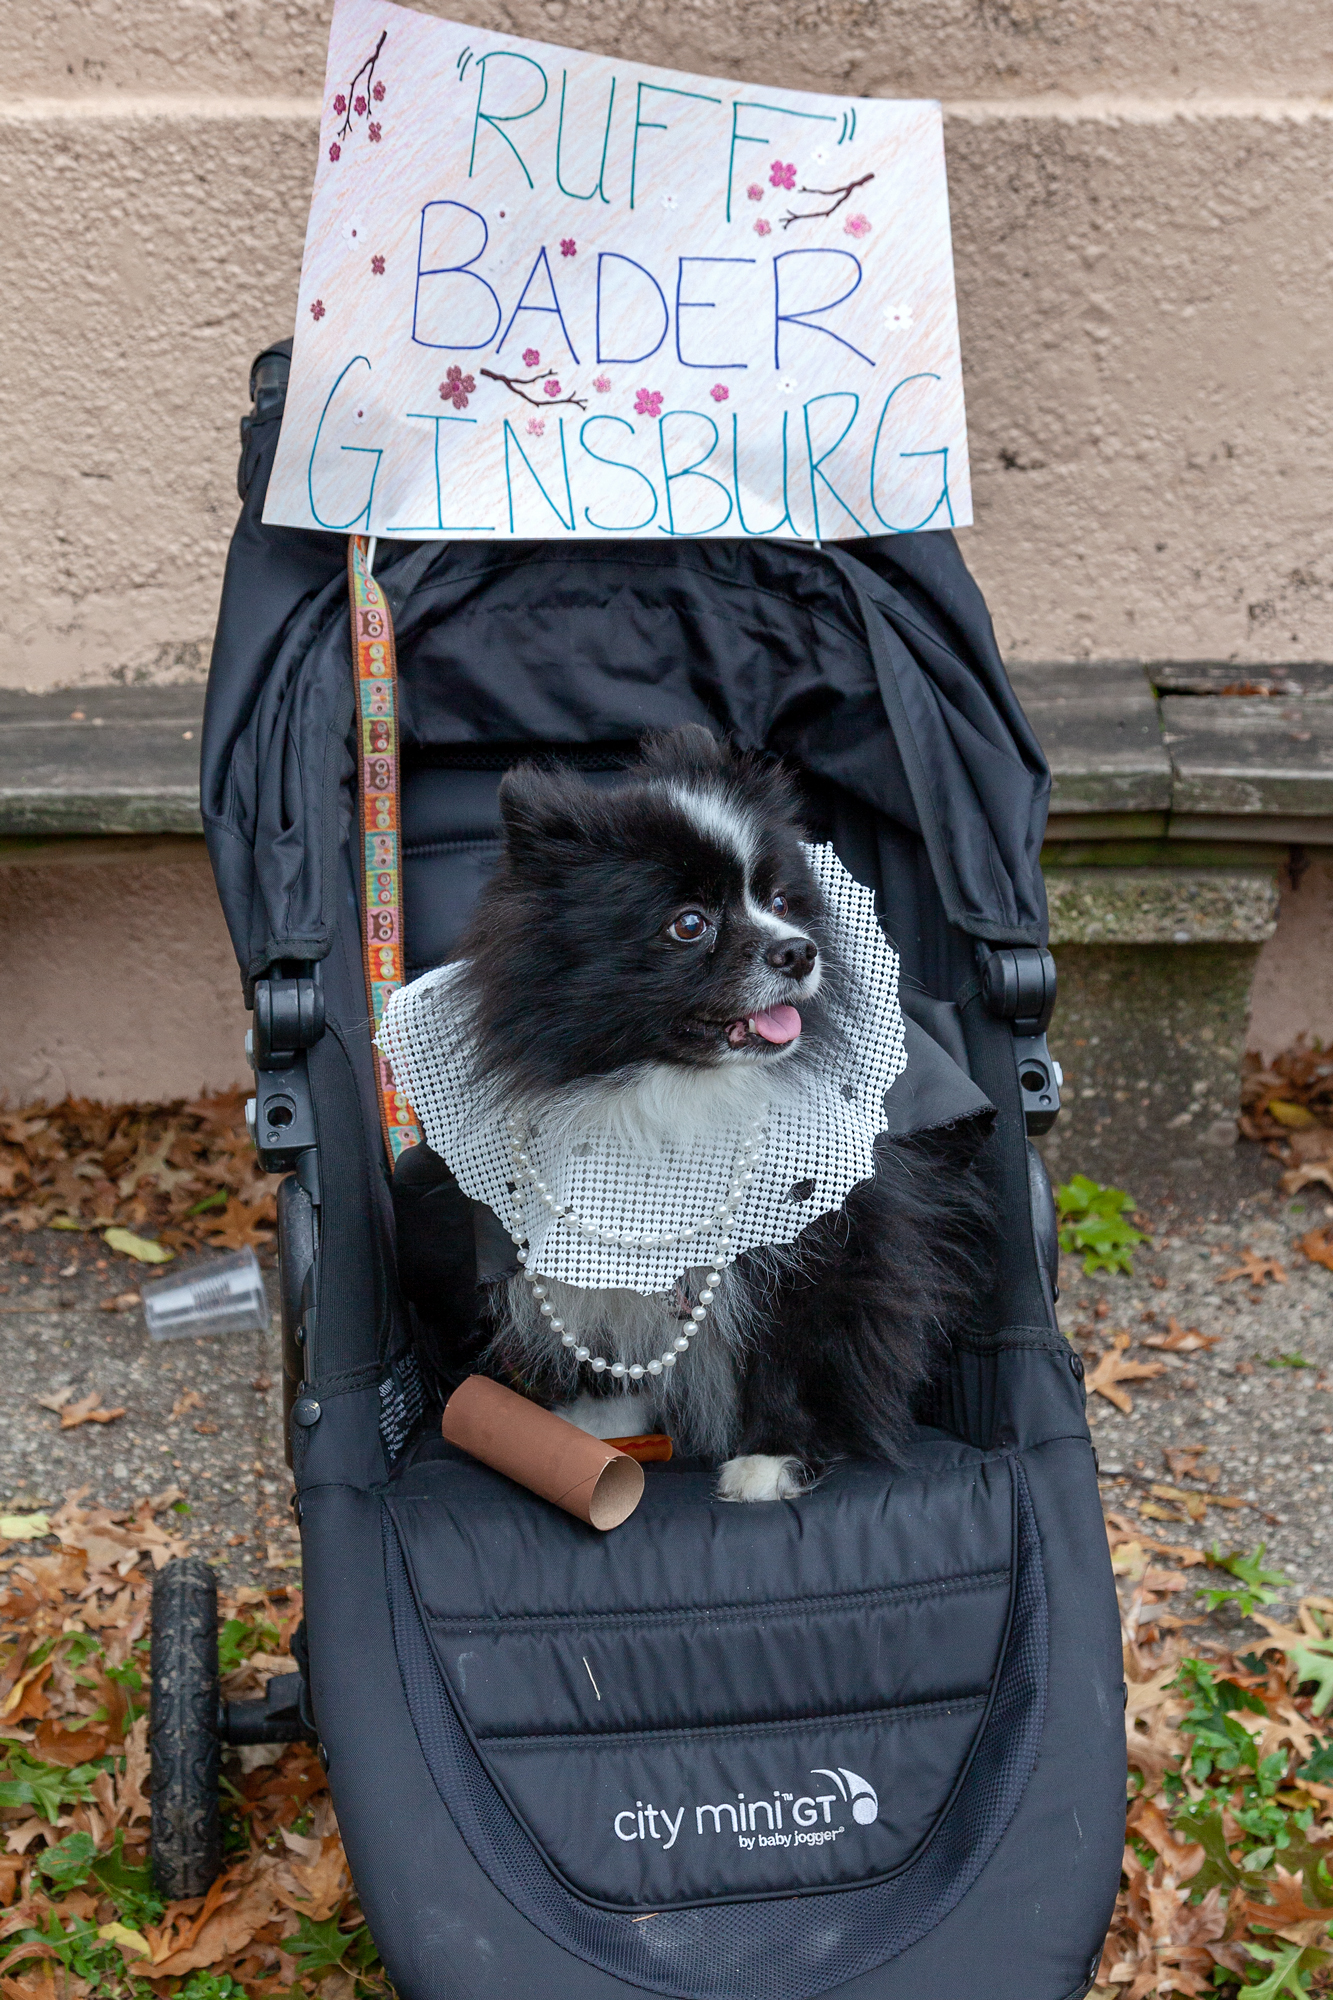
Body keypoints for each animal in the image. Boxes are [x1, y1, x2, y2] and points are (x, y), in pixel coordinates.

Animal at [394, 724, 984, 1504]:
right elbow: (604, 1329)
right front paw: (596, 1428)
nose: (800, 950)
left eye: (780, 901)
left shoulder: (828, 1235)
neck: (670, 1089)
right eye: (689, 925)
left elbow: (793, 1347)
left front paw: (773, 1456)